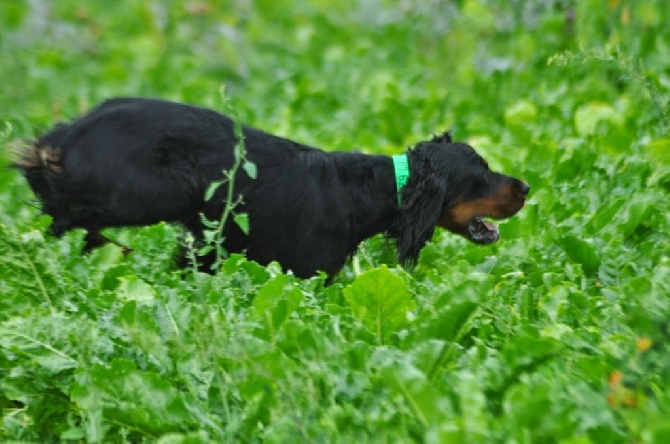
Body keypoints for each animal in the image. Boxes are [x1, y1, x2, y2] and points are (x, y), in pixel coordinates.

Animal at [14, 98, 532, 278]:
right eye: (483, 170)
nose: (527, 186)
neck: (376, 190)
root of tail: (70, 132)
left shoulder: (216, 248)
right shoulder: (305, 271)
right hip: (158, 191)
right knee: (66, 210)